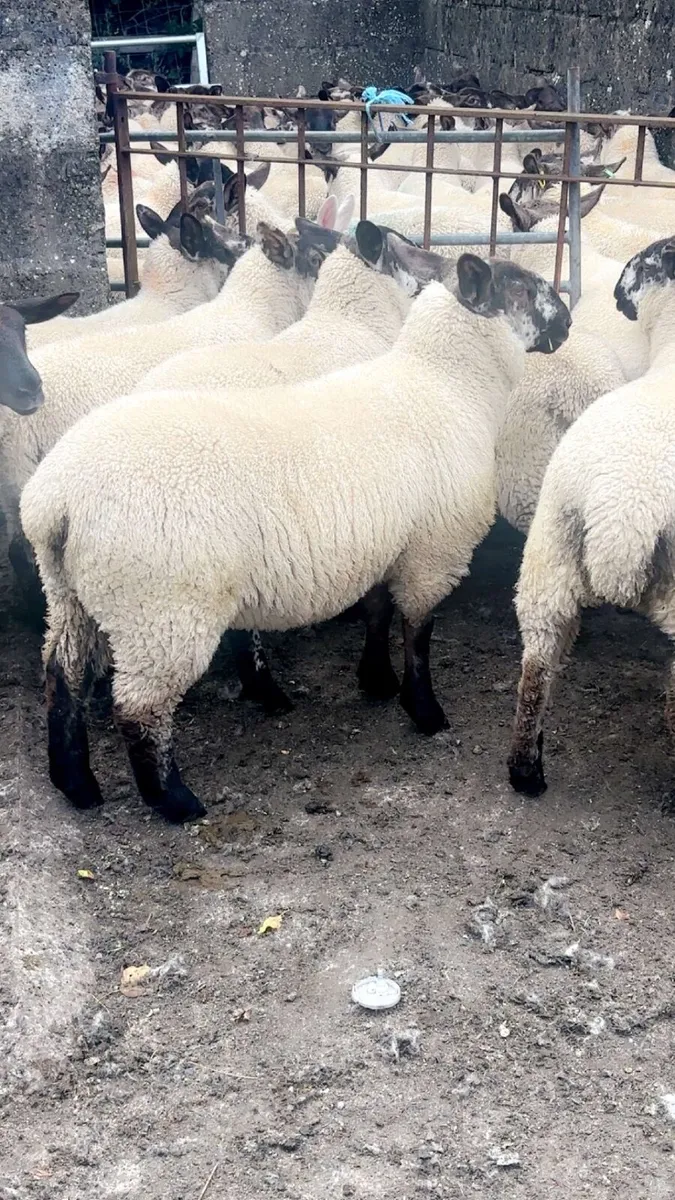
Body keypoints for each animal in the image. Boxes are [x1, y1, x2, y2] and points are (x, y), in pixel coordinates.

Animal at [20, 254, 571, 822]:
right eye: (521, 288)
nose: (569, 322)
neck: (450, 385)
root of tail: (57, 499)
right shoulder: (432, 552)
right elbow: (418, 632)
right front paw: (424, 710)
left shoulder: (384, 543)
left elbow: (377, 611)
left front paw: (376, 680)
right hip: (161, 611)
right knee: (137, 706)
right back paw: (174, 800)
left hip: (72, 593)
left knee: (61, 674)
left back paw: (75, 783)